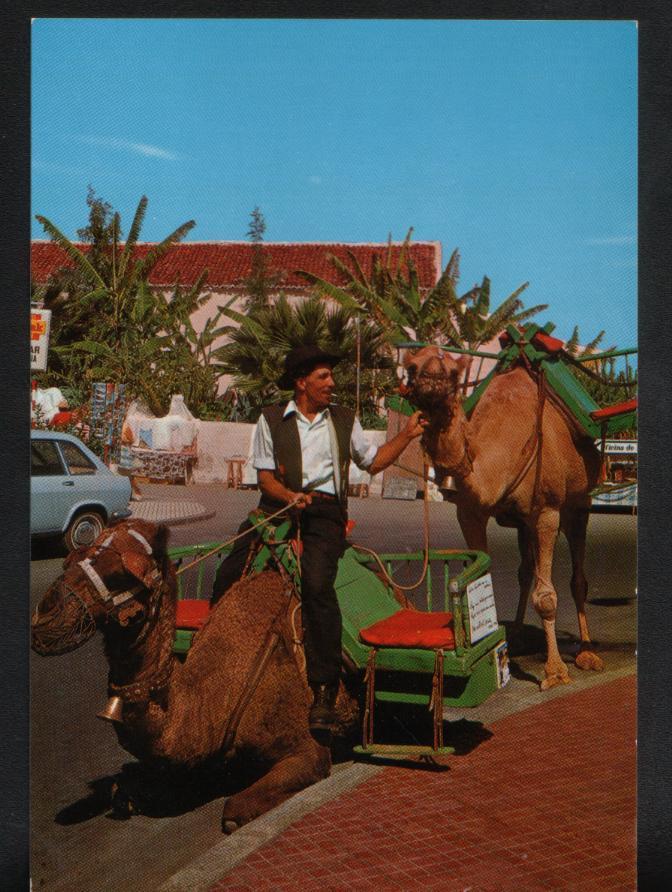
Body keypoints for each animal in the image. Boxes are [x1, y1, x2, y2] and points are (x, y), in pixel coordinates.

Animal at [404, 346, 604, 688]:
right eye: (412, 365)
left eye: (453, 371)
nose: (425, 375)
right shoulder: (470, 512)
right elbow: (482, 578)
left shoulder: (547, 511)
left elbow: (547, 596)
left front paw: (554, 670)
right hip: (524, 523)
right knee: (526, 572)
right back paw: (521, 635)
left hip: (579, 503)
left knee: (578, 578)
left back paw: (587, 653)